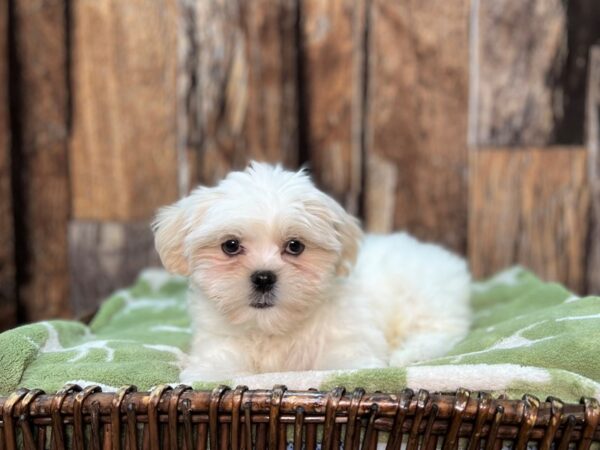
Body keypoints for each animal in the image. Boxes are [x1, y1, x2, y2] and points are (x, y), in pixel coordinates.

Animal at [152, 162, 472, 380]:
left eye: (295, 246)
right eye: (230, 245)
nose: (264, 277)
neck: (273, 330)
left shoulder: (349, 341)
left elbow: (346, 364)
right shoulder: (218, 341)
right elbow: (216, 365)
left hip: (426, 302)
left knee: (439, 332)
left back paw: (408, 353)